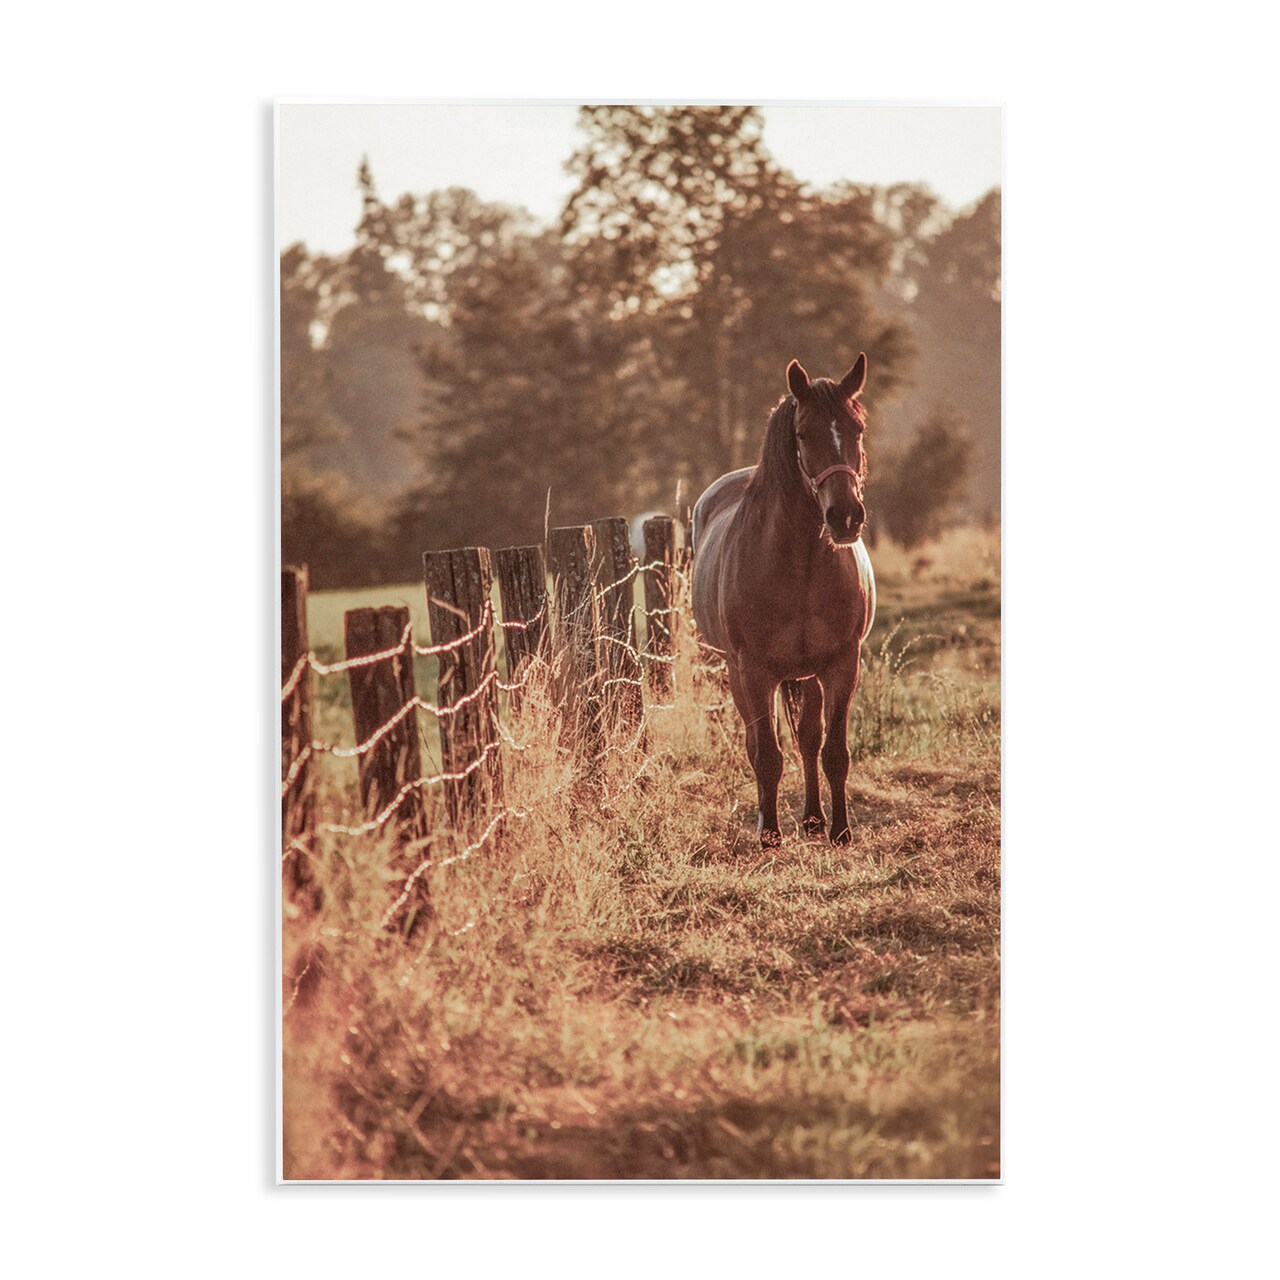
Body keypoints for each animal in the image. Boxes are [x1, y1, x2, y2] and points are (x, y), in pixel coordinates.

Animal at [691, 355, 876, 847]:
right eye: (804, 434)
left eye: (857, 429)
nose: (845, 517)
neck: (800, 564)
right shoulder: (755, 671)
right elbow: (768, 755)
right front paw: (770, 834)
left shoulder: (841, 665)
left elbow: (833, 751)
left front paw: (841, 831)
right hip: (738, 673)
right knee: (758, 744)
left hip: (806, 675)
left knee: (808, 739)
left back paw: (812, 819)